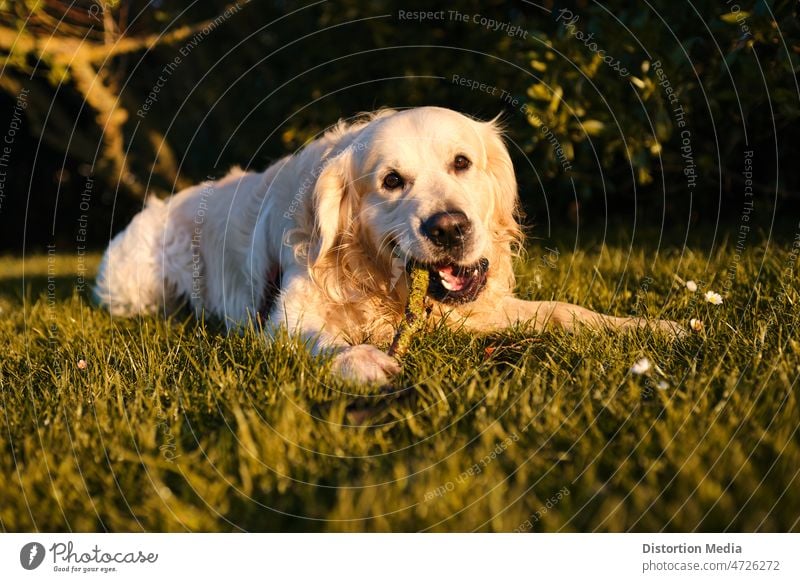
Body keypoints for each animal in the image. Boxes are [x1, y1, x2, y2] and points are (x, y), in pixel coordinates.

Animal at [94, 107, 680, 386]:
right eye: (392, 181)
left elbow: (565, 311)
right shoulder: (283, 319)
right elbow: (318, 339)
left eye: (462, 162)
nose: (449, 228)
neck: (380, 281)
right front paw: (361, 360)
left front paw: (655, 326)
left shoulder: (477, 308)